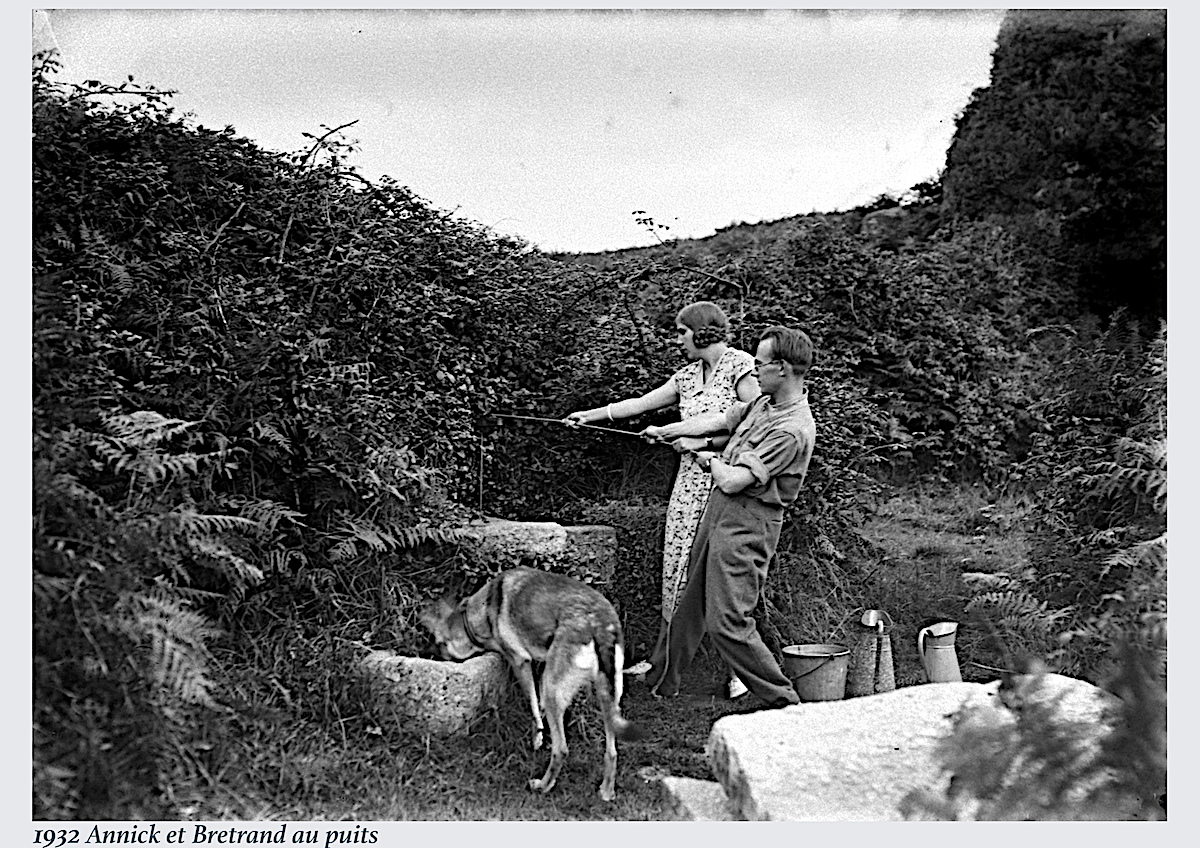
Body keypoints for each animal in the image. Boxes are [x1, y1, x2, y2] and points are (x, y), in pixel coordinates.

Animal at [418, 567, 645, 801]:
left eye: (437, 642)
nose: (430, 654)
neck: (481, 611)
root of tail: (599, 624)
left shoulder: (520, 662)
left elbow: (533, 704)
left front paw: (537, 737)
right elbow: (538, 707)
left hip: (553, 689)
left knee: (561, 749)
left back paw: (543, 785)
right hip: (607, 695)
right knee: (612, 751)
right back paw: (606, 791)